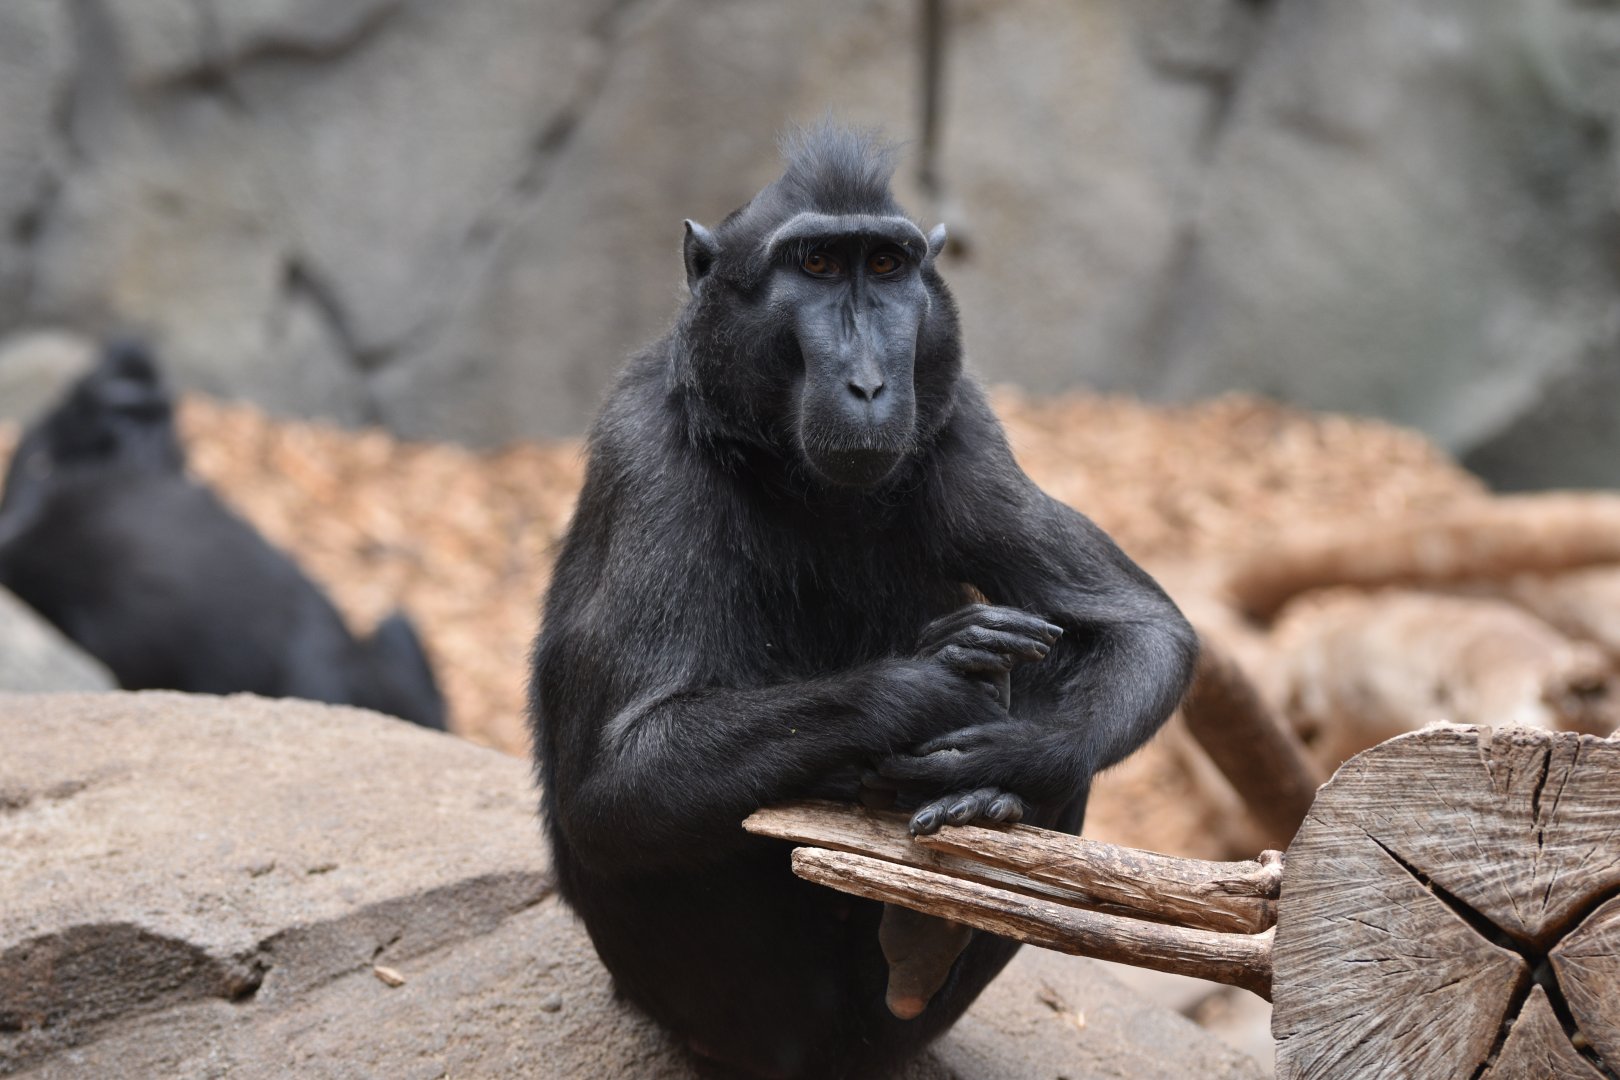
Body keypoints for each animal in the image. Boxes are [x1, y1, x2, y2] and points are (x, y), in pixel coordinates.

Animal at [529, 127, 1197, 1079]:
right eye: (814, 264)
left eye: (884, 265)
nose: (872, 384)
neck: (793, 473)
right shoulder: (647, 453)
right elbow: (619, 779)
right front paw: (929, 683)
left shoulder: (963, 424)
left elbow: (1138, 626)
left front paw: (1007, 750)